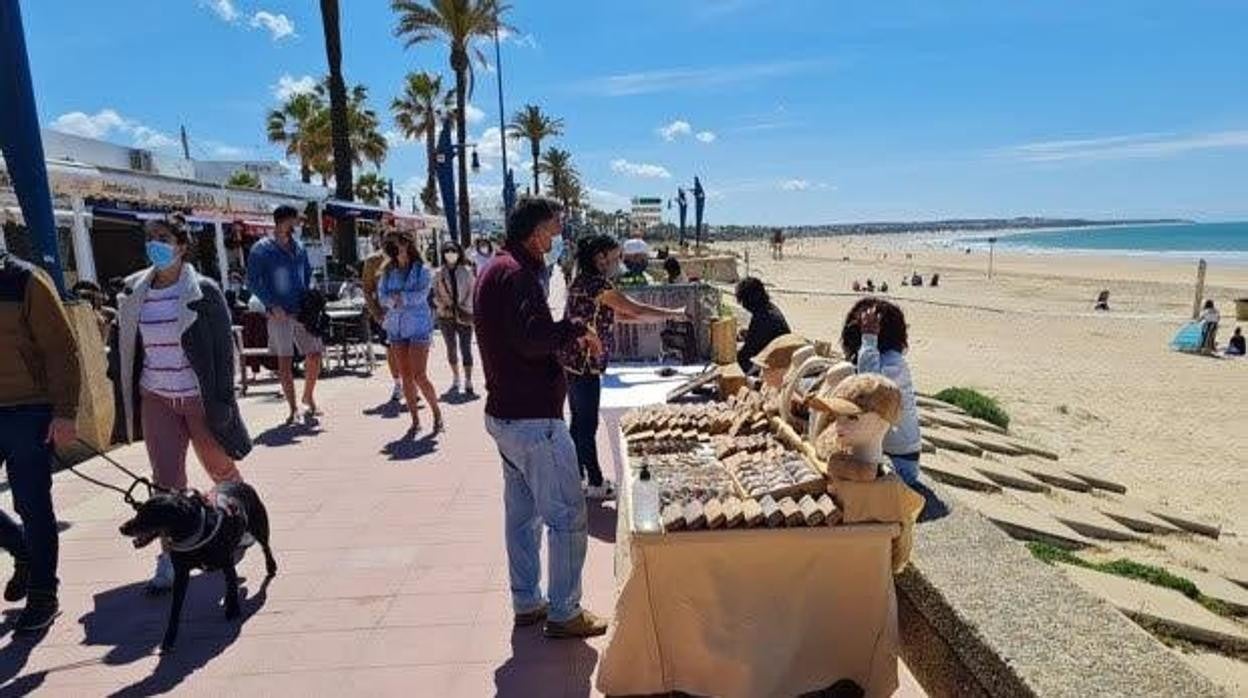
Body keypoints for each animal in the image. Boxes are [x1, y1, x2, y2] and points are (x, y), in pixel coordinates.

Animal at [119, 479, 278, 649]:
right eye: (138, 511)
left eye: (150, 514)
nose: (121, 528)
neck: (194, 534)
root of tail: (240, 482)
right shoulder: (181, 574)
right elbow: (175, 609)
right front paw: (169, 637)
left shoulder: (227, 563)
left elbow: (231, 584)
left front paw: (233, 609)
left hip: (259, 526)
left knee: (265, 547)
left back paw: (270, 567)